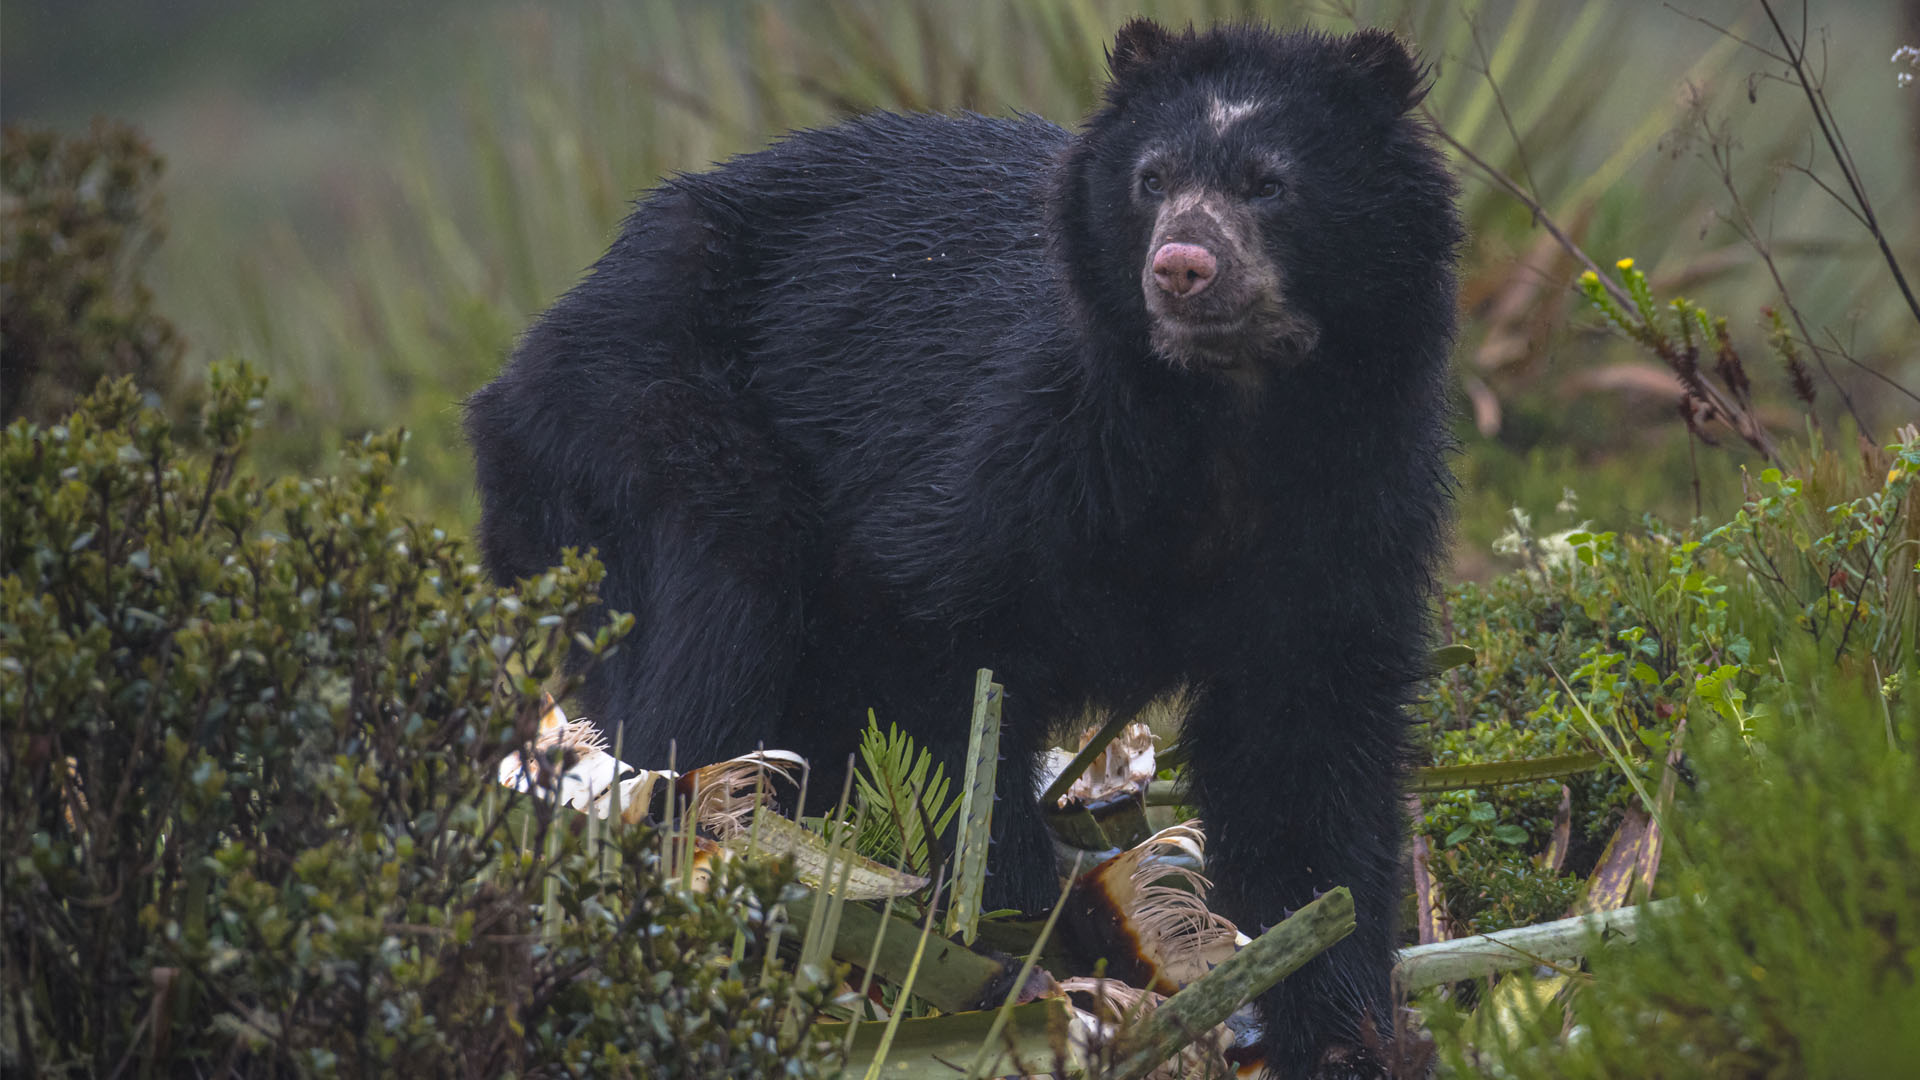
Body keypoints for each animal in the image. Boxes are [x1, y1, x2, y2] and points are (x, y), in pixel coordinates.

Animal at [464, 18, 1451, 1076]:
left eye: (1270, 183)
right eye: (1151, 179)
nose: (1182, 266)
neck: (1226, 417)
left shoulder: (1356, 510)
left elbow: (1308, 757)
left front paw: (1333, 1022)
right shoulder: (1024, 453)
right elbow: (935, 648)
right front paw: (1025, 944)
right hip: (636, 425)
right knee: (716, 617)